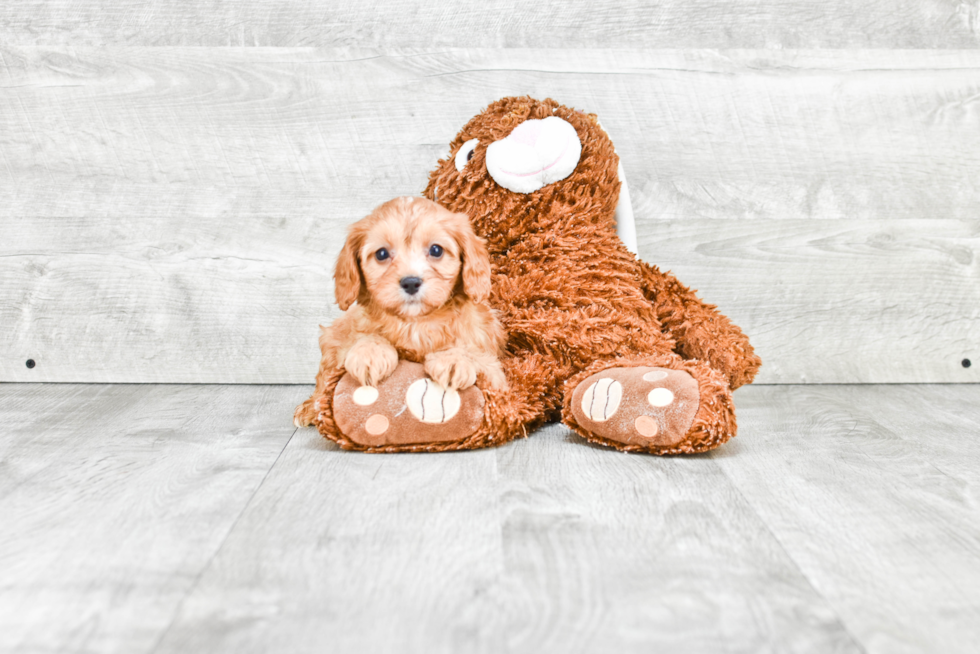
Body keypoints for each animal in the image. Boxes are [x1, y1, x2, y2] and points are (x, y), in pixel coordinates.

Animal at [290, 195, 506, 430]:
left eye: (436, 250)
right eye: (382, 254)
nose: (411, 282)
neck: (415, 322)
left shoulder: (495, 371)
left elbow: (473, 353)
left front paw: (454, 359)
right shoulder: (348, 333)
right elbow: (363, 336)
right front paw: (371, 353)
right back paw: (311, 408)